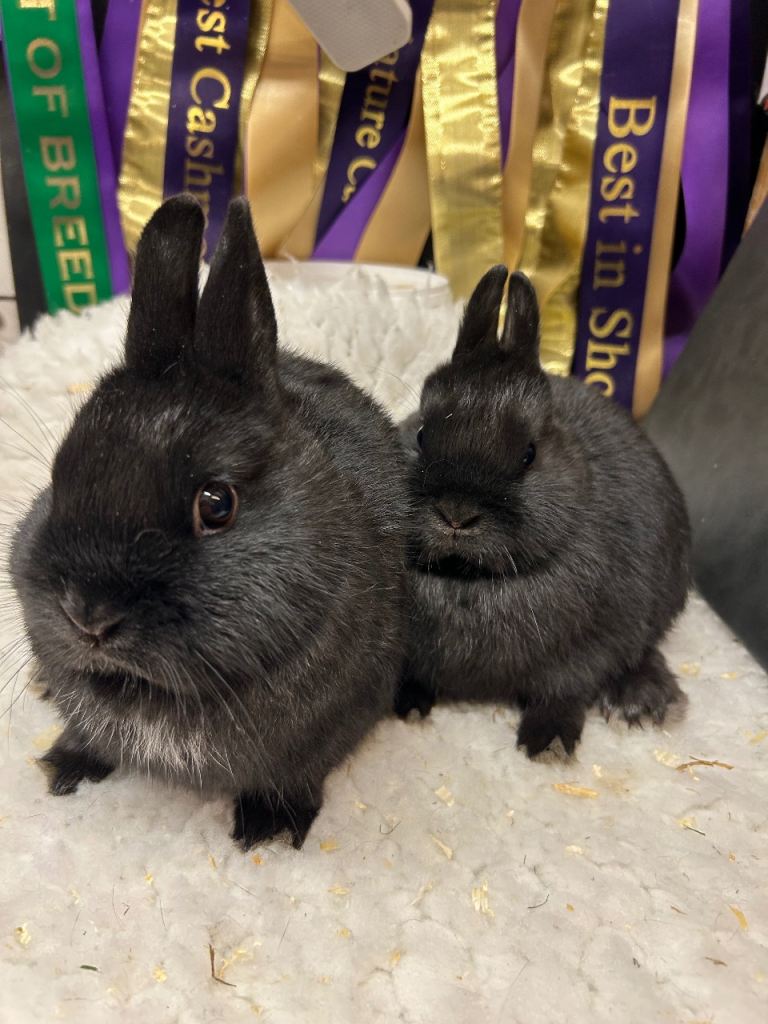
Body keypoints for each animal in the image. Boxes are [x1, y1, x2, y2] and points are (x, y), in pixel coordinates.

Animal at [10, 194, 409, 849]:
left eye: (216, 503)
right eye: (60, 470)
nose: (88, 618)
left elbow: (295, 774)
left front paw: (269, 828)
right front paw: (65, 766)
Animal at [395, 266, 691, 757]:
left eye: (529, 455)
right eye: (420, 434)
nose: (456, 515)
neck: (467, 577)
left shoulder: (583, 655)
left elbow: (563, 693)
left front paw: (547, 743)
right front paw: (409, 707)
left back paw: (641, 701)